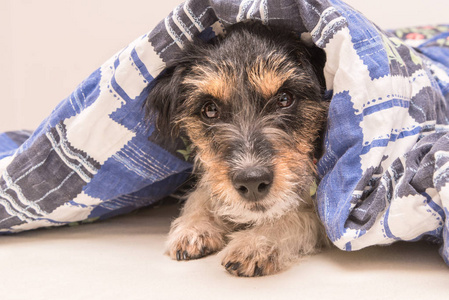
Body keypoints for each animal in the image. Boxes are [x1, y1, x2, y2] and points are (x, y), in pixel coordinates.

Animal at [145, 21, 328, 276]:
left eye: (284, 99)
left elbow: (298, 214)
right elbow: (203, 191)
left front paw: (256, 243)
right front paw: (193, 227)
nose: (251, 182)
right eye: (210, 109)